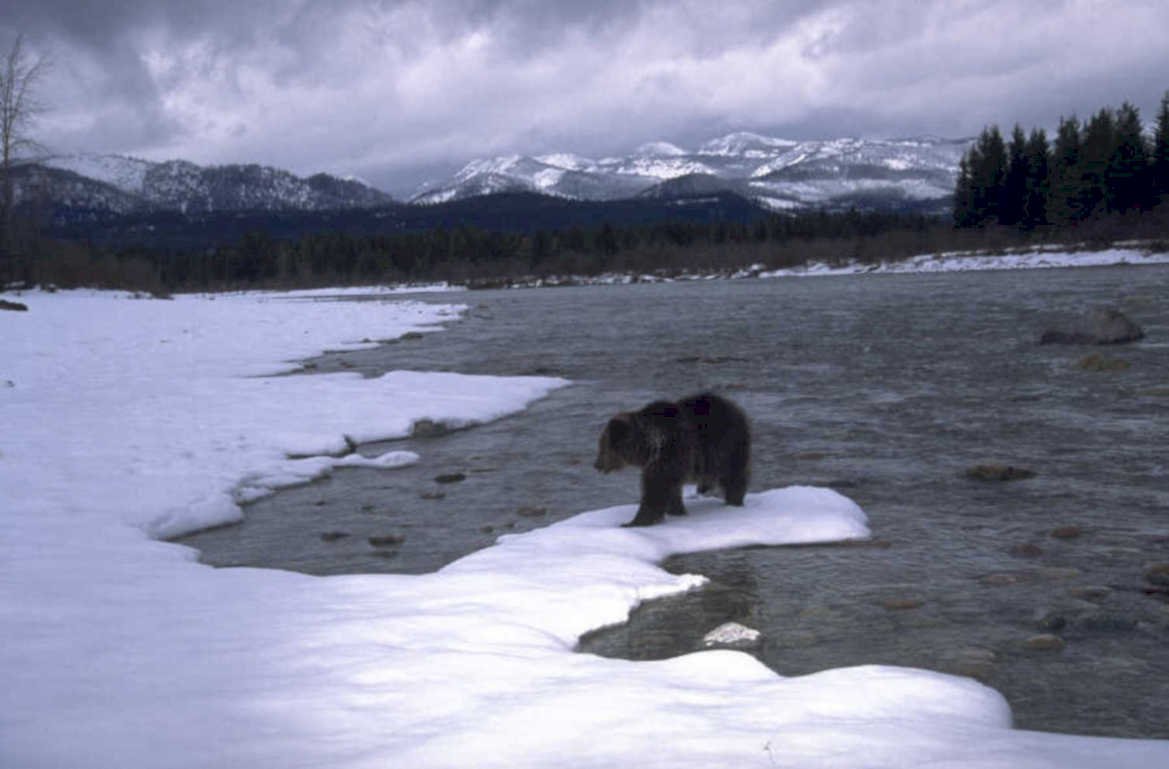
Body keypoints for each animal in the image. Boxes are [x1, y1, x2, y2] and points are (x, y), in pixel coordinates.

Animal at [593, 392, 750, 527]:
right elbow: (672, 489)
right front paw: (676, 511)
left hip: (726, 447)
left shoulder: (669, 454)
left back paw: (733, 501)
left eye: (602, 447)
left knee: (733, 476)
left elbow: (655, 489)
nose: (596, 464)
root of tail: (735, 407)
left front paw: (633, 522)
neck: (648, 447)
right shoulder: (667, 463)